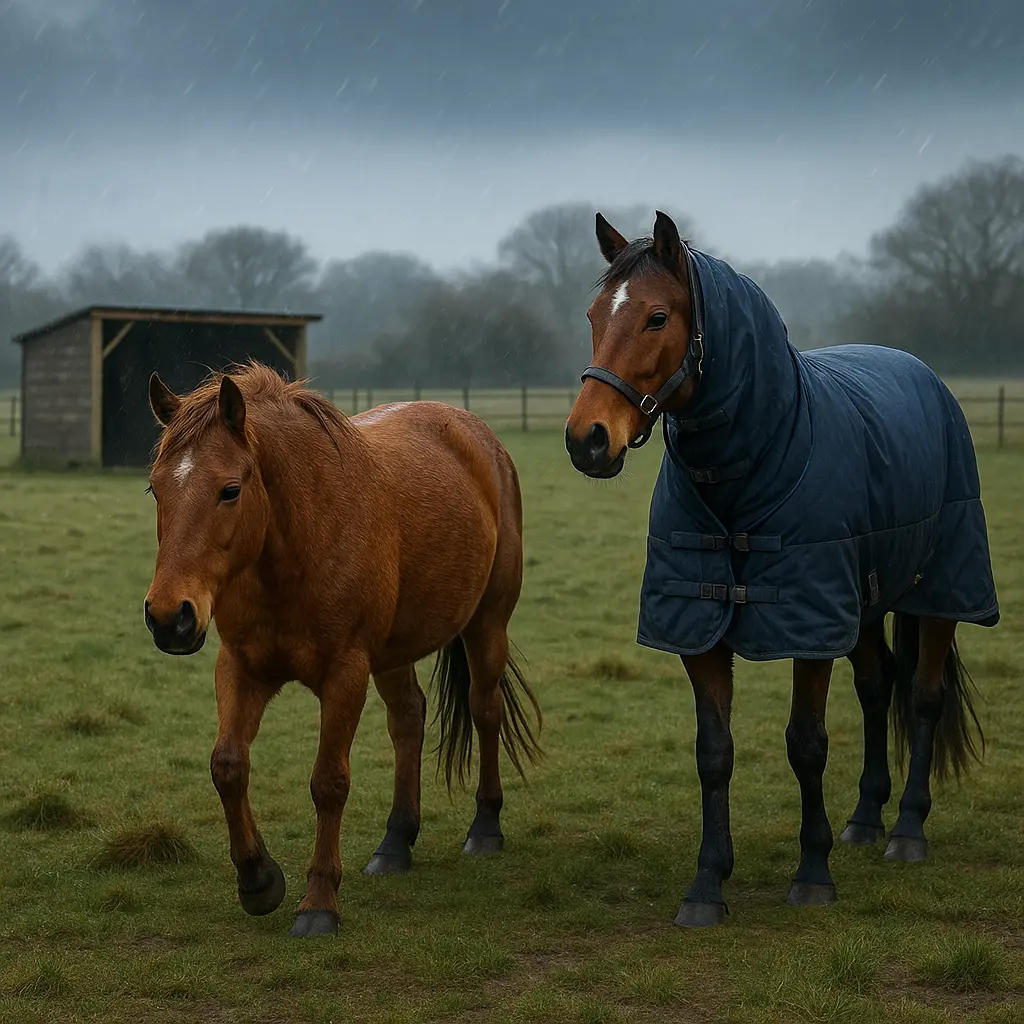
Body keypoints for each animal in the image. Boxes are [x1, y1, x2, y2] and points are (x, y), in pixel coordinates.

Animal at [143, 363, 541, 938]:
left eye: (230, 490)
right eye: (154, 490)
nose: (168, 617)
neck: (295, 544)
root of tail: (475, 432)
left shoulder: (345, 673)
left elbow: (328, 783)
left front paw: (318, 903)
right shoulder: (240, 667)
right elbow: (228, 766)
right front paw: (258, 880)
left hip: (487, 623)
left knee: (485, 710)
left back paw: (485, 827)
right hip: (395, 654)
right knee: (408, 720)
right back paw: (395, 842)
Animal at [565, 210, 999, 927]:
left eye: (656, 317)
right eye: (596, 315)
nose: (586, 440)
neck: (752, 466)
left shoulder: (808, 624)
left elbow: (806, 743)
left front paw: (812, 873)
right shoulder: (701, 625)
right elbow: (714, 753)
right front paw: (708, 883)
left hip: (939, 592)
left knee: (923, 695)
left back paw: (907, 829)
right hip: (862, 605)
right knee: (878, 686)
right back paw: (864, 819)